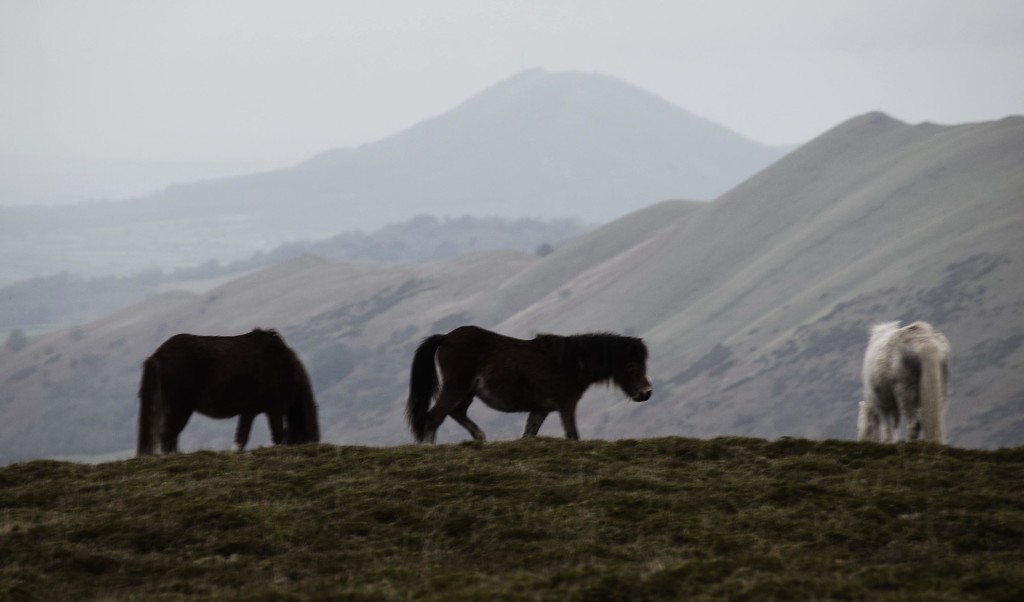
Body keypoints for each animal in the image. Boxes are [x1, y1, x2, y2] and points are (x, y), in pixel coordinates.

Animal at [137, 329, 319, 456]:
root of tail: (158, 355)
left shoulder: (249, 411)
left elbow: (242, 437)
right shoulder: (275, 409)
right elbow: (278, 436)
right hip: (179, 408)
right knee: (168, 436)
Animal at [405, 323, 651, 442]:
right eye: (631, 366)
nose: (646, 393)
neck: (571, 362)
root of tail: (445, 337)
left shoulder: (540, 409)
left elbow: (527, 436)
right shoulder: (566, 406)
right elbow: (573, 436)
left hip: (467, 391)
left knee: (456, 413)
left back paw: (480, 438)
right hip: (457, 387)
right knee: (434, 417)